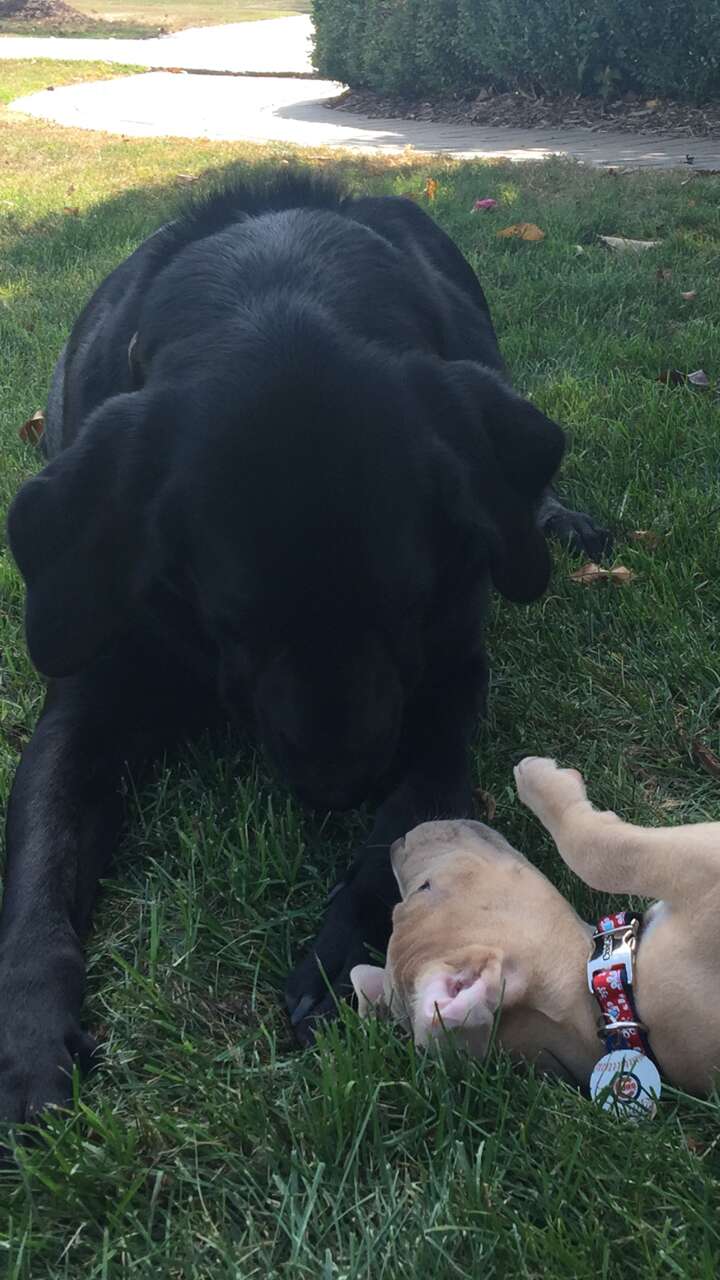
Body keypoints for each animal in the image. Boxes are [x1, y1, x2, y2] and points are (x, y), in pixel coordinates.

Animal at [2, 172, 602, 1121]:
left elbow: (415, 807)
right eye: (232, 620)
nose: (337, 788)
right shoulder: (87, 695)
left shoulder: (450, 679)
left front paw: (345, 941)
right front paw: (28, 1036)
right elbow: (40, 860)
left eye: (406, 599)